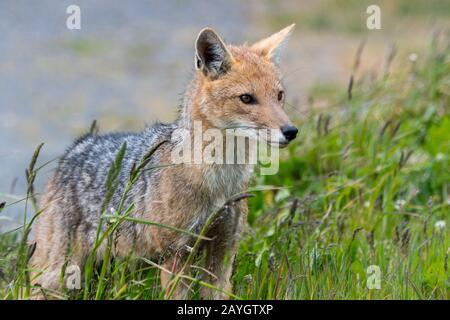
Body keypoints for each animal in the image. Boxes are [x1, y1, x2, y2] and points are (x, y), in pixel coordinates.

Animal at [31, 25, 298, 300]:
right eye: (247, 98)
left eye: (279, 96)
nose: (291, 131)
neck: (218, 182)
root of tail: (77, 147)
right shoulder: (176, 255)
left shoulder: (223, 250)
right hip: (58, 277)